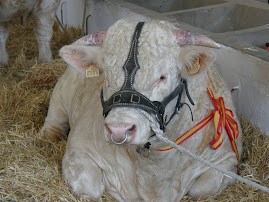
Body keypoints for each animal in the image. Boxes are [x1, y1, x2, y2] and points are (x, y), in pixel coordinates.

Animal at [41, 19, 241, 202]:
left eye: (162, 77)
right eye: (107, 75)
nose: (119, 130)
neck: (153, 172)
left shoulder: (227, 159)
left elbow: (202, 188)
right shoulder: (79, 146)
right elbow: (89, 186)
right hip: (60, 94)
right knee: (54, 122)